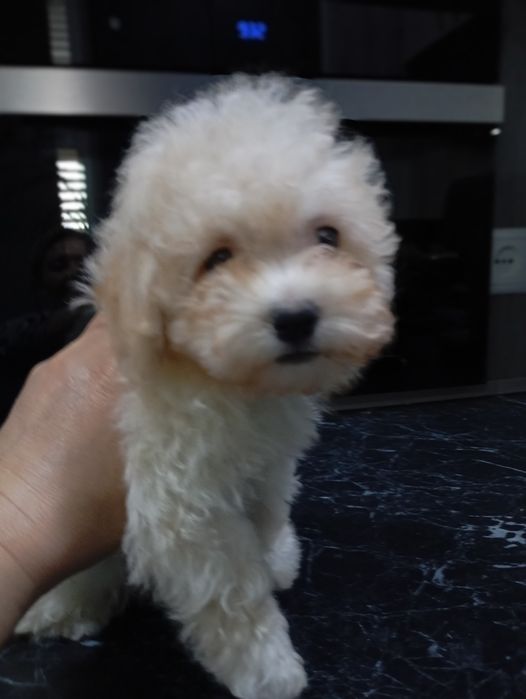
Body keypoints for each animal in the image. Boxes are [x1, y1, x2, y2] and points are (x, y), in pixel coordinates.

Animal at [16, 74, 398, 699]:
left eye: (328, 236)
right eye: (216, 258)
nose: (296, 317)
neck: (227, 383)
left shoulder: (266, 457)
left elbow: (267, 505)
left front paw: (277, 554)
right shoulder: (182, 504)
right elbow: (232, 592)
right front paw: (269, 671)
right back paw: (64, 606)